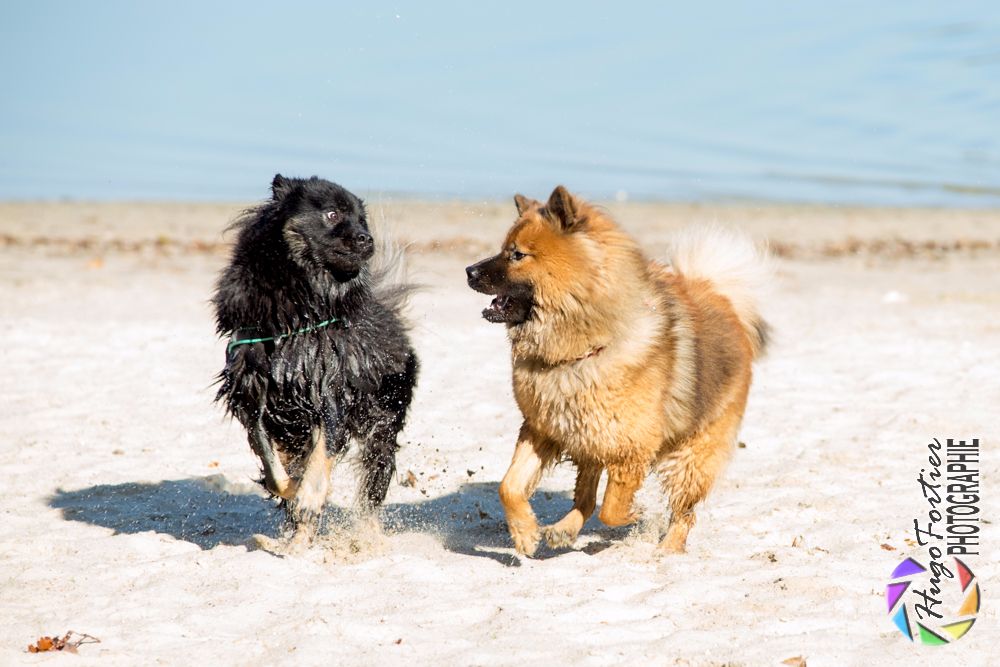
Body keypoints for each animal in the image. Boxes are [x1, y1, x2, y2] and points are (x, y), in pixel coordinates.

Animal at [215, 175, 418, 552]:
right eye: (332, 214)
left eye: (361, 220)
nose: (367, 238)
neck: (300, 315)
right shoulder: (253, 395)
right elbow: (273, 465)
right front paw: (292, 491)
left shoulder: (331, 392)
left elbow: (322, 453)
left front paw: (308, 496)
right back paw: (295, 543)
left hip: (382, 424)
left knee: (373, 488)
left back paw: (365, 538)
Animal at [464, 185, 768, 556]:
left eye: (517, 255)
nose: (469, 271)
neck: (579, 350)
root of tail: (724, 300)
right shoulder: (543, 429)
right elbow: (509, 485)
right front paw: (524, 533)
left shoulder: (631, 449)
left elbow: (612, 508)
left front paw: (634, 514)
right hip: (589, 440)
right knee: (584, 499)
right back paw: (563, 530)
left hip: (691, 456)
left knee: (683, 512)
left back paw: (668, 550)